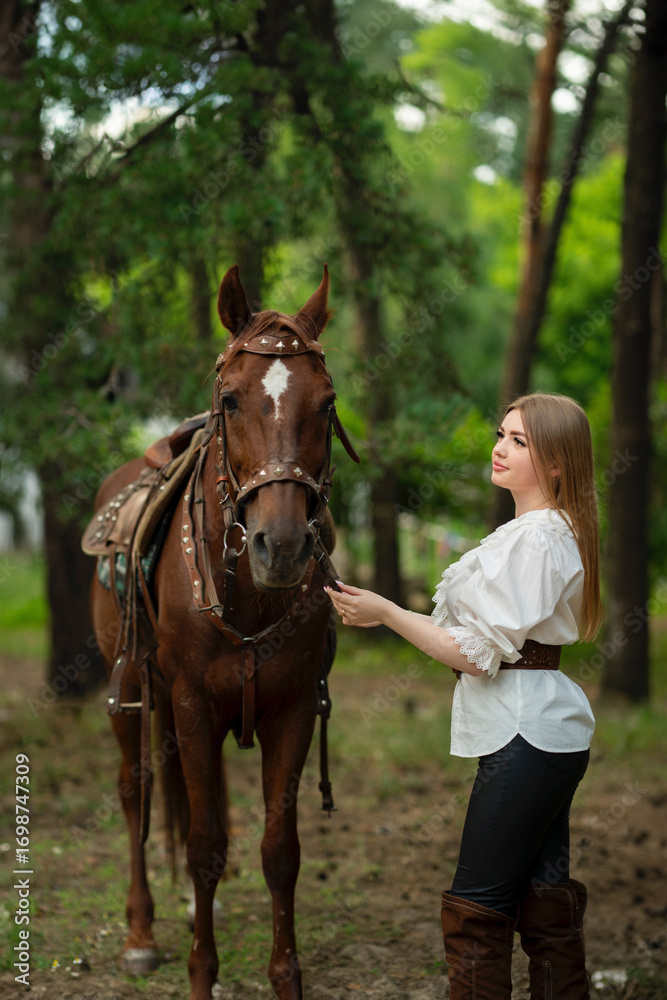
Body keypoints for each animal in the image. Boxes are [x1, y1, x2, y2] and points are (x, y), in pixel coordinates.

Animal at [85, 264, 358, 1000]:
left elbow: (278, 851)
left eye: (326, 403)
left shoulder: (292, 708)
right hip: (130, 687)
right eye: (231, 401)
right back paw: (141, 933)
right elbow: (205, 846)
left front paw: (285, 976)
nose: (281, 546)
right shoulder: (190, 702)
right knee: (134, 790)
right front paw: (201, 974)